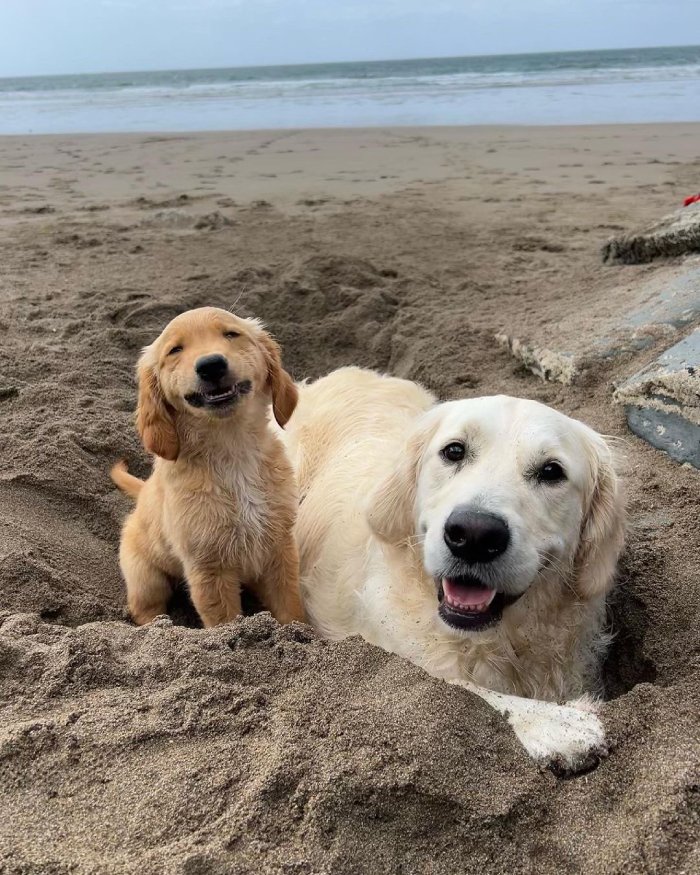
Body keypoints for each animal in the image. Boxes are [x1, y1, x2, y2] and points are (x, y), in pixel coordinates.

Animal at [112, 308, 304, 628]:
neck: (232, 449)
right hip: (145, 576)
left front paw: (300, 634)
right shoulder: (208, 566)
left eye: (231, 334)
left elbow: (291, 608)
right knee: (145, 607)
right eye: (175, 350)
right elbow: (224, 620)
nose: (211, 365)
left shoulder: (279, 546)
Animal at [276, 366, 628, 768]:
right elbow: (463, 687)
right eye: (454, 450)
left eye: (552, 471)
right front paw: (557, 724)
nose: (474, 534)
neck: (497, 640)